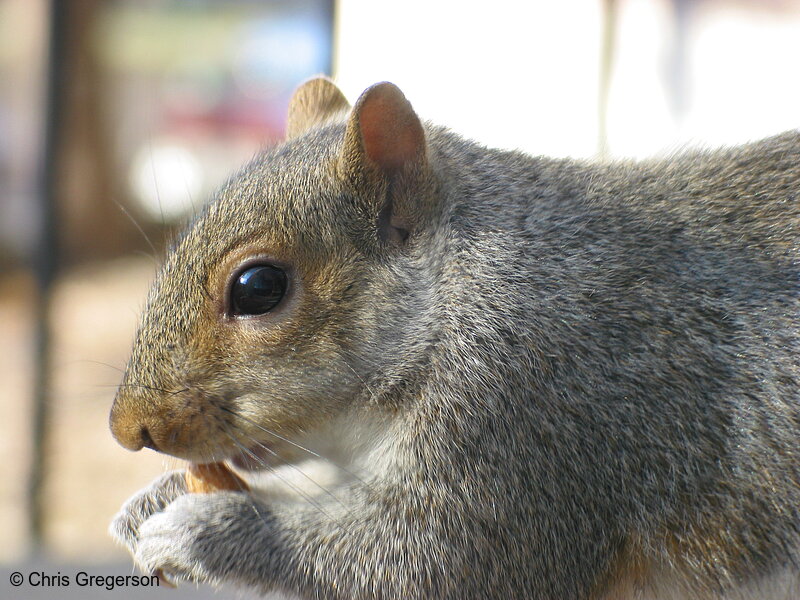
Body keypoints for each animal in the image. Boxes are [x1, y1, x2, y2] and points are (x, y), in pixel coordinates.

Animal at [108, 77, 800, 596]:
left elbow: (439, 559)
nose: (128, 429)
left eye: (258, 288)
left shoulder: (532, 411)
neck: (458, 295)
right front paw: (154, 500)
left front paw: (213, 531)